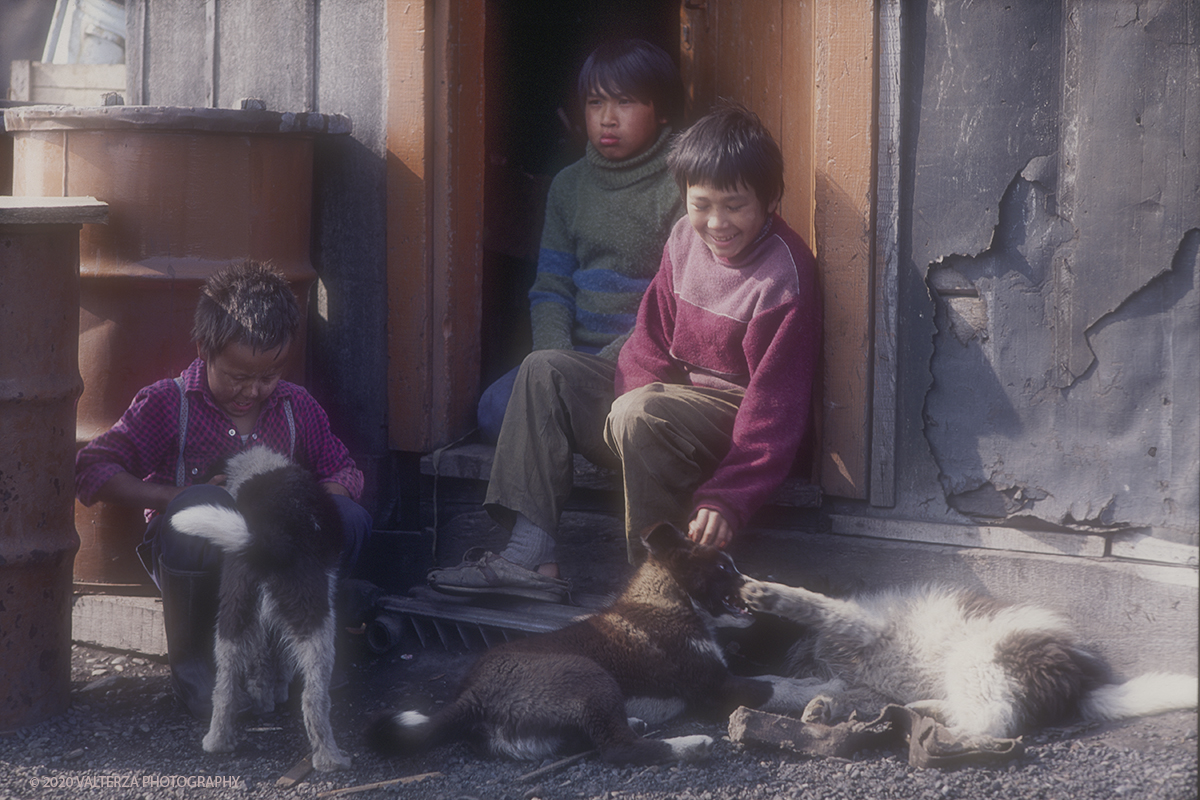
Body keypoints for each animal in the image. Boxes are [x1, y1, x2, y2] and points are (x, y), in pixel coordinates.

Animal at [171, 448, 352, 772]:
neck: (254, 466)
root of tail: (271, 540)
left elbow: (265, 663)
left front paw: (265, 697)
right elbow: (280, 663)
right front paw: (274, 693)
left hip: (233, 617)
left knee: (224, 689)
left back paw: (217, 742)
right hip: (317, 623)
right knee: (314, 699)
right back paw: (330, 758)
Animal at [367, 522, 816, 767]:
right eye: (723, 567)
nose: (761, 586)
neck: (669, 598)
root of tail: (470, 697)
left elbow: (777, 679)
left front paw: (814, 685)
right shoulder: (716, 689)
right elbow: (775, 686)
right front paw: (823, 688)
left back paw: (637, 723)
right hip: (588, 674)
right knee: (618, 750)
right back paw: (688, 746)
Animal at [734, 578, 1195, 743]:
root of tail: (1081, 678)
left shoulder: (864, 626)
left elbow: (817, 606)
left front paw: (767, 593)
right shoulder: (862, 684)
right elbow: (839, 693)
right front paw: (817, 705)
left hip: (977, 661)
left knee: (989, 724)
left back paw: (930, 724)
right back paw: (920, 710)